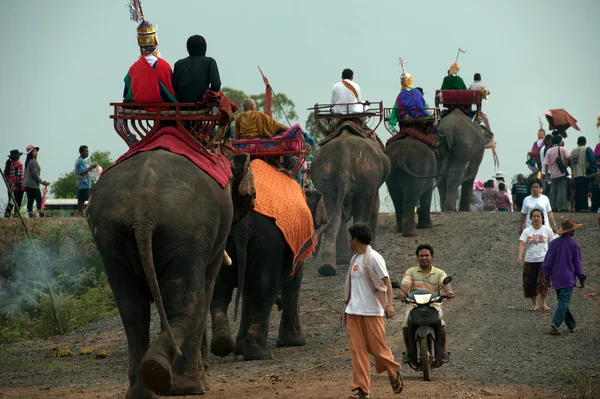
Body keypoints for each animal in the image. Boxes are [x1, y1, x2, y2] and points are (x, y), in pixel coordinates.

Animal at [85, 151, 254, 399]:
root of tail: (143, 211)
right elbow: (206, 287)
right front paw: (199, 382)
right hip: (186, 230)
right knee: (187, 301)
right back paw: (182, 382)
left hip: (110, 235)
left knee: (132, 308)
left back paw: (147, 385)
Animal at [209, 191, 326, 362]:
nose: (279, 303)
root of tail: (242, 227)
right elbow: (294, 280)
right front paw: (294, 343)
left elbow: (247, 291)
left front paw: (239, 348)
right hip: (268, 245)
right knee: (264, 289)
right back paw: (259, 354)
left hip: (222, 241)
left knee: (221, 289)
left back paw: (223, 345)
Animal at [310, 128, 390, 276]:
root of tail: (344, 157)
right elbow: (374, 207)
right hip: (367, 176)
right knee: (363, 211)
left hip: (325, 177)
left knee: (334, 216)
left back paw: (328, 267)